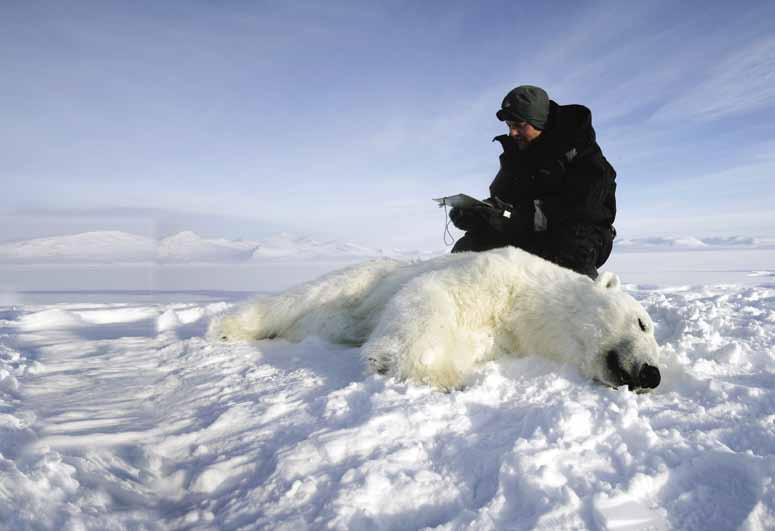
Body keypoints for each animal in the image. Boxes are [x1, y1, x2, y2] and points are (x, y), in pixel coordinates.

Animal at [211, 248, 660, 390]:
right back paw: (227, 327)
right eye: (642, 323)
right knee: (302, 297)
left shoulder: (505, 334)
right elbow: (431, 296)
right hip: (365, 279)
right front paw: (432, 372)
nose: (651, 374)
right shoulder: (494, 274)